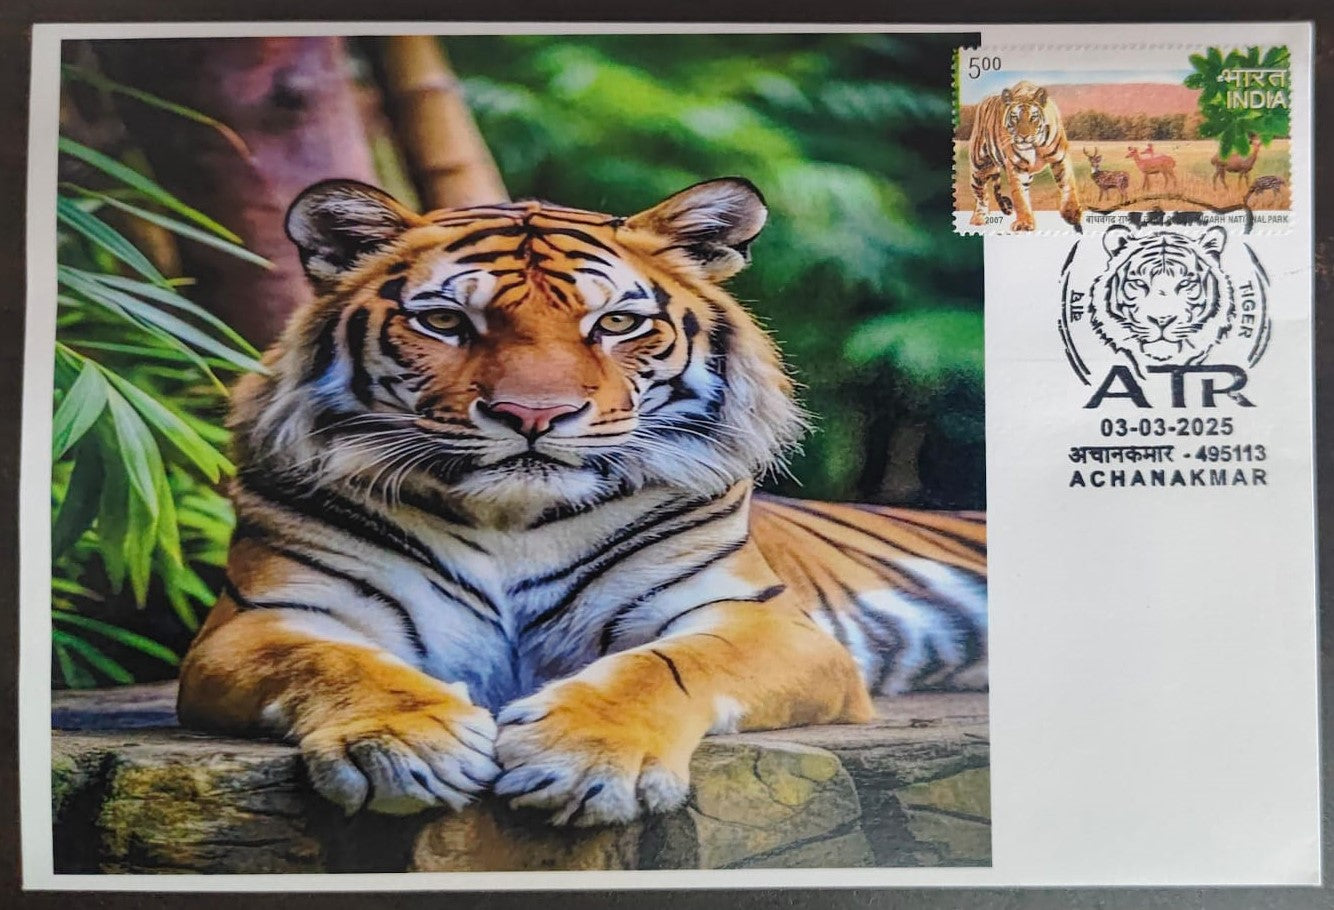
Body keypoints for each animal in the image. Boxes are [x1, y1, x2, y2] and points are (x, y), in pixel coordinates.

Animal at [177, 177, 988, 827]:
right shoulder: (256, 623)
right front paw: (403, 745)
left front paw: (586, 755)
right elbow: (332, 662)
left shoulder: (766, 622)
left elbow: (668, 665)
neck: (509, 519)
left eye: (617, 323)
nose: (533, 415)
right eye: (445, 322)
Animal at [968, 81, 1081, 231]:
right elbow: (1019, 197)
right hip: (979, 166)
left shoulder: (1060, 158)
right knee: (980, 195)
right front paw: (1024, 223)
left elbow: (1068, 185)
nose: (1023, 136)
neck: (1035, 145)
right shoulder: (1017, 167)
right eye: (1015, 117)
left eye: (1033, 117)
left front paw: (1072, 213)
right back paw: (978, 218)